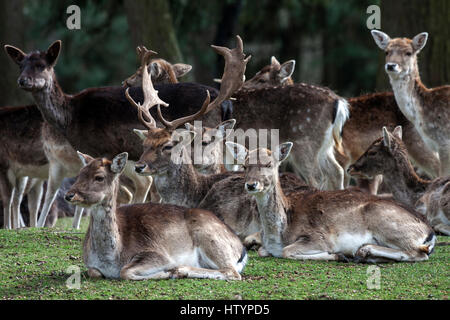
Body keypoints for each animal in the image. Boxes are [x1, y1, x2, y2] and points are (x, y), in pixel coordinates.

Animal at [64, 152, 246, 280]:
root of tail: (241, 247)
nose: (69, 195)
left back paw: (180, 270)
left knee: (231, 272)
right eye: (80, 173)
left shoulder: (157, 255)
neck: (111, 258)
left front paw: (167, 273)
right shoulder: (90, 264)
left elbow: (125, 271)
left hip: (211, 239)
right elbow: (94, 272)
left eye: (99, 177)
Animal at [227, 141, 438, 262]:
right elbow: (262, 251)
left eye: (269, 164)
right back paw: (365, 253)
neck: (277, 234)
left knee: (418, 253)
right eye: (244, 165)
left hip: (385, 221)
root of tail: (430, 233)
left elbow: (287, 251)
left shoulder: (318, 237)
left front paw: (338, 254)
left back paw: (361, 251)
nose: (251, 185)